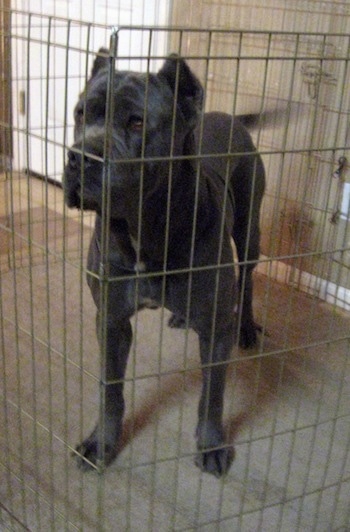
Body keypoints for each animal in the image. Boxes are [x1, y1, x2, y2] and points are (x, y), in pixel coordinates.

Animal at [63, 48, 266, 474]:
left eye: (137, 121)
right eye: (80, 113)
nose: (78, 157)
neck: (144, 230)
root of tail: (230, 117)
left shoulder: (215, 331)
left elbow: (213, 393)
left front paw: (211, 444)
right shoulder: (111, 321)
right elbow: (110, 390)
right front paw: (101, 443)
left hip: (249, 230)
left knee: (248, 280)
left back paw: (246, 327)